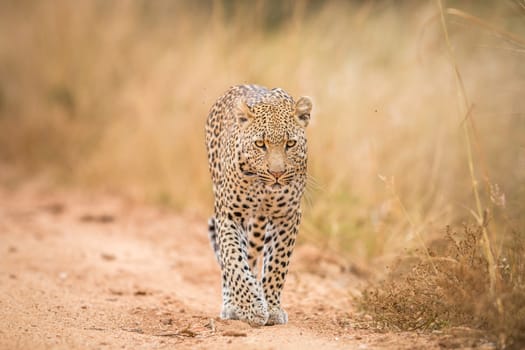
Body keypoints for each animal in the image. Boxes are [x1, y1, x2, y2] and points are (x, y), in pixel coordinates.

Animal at [205, 84, 312, 326]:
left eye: (290, 144)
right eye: (260, 144)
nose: (277, 173)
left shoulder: (288, 216)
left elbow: (277, 264)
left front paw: (271, 308)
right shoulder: (229, 215)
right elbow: (234, 260)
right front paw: (251, 307)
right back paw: (231, 305)